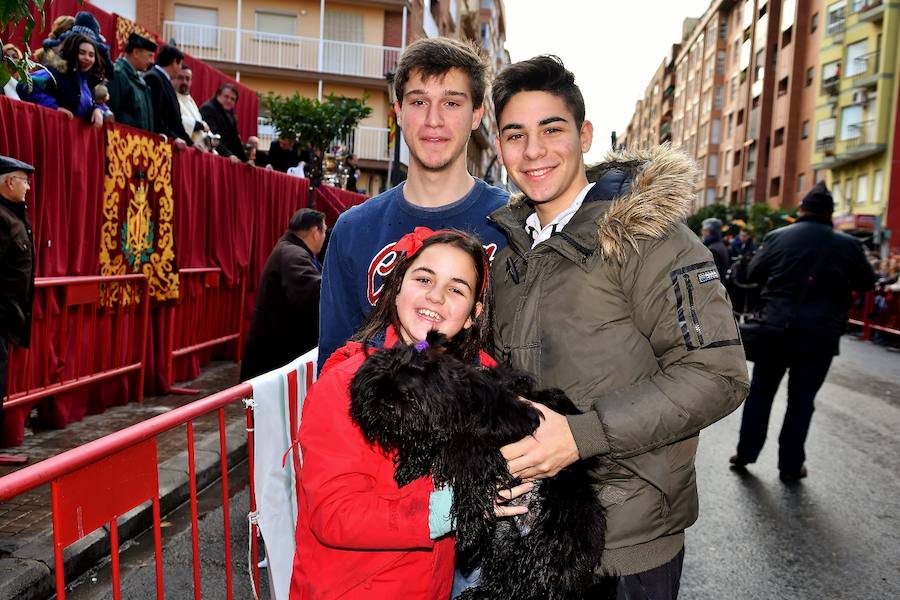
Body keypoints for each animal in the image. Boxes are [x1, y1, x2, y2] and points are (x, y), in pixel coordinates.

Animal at [350, 330, 604, 600]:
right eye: (376, 389)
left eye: (406, 392)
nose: (382, 405)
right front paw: (411, 464)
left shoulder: (501, 433)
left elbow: (465, 459)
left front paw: (468, 518)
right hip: (504, 538)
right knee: (511, 579)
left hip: (553, 536)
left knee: (537, 579)